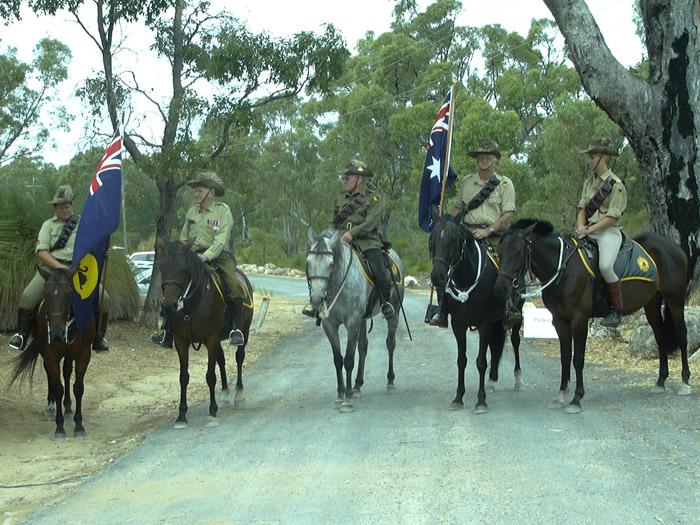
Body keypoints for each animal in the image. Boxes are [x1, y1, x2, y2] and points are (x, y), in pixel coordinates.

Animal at [11, 266, 94, 438]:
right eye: (46, 296)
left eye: (69, 295)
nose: (56, 334)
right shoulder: (50, 353)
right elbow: (58, 387)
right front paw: (60, 427)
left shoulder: (83, 353)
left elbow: (78, 387)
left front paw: (79, 426)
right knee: (51, 374)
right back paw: (51, 405)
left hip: (69, 353)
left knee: (67, 372)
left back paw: (68, 408)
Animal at [156, 239, 254, 428]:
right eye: (161, 266)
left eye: (183, 268)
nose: (168, 307)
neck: (192, 306)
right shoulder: (181, 341)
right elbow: (183, 377)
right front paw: (181, 415)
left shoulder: (211, 339)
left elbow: (210, 376)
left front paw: (212, 411)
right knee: (221, 361)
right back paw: (225, 393)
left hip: (244, 331)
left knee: (239, 358)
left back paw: (238, 395)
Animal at [306, 227, 404, 412]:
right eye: (308, 263)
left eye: (330, 264)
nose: (316, 299)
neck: (338, 282)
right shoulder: (330, 325)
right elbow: (338, 360)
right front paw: (340, 394)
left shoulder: (351, 323)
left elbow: (349, 359)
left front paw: (347, 399)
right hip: (363, 320)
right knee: (363, 347)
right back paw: (358, 385)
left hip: (393, 313)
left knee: (390, 343)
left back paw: (390, 382)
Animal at [430, 215, 524, 412]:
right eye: (432, 239)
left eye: (453, 240)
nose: (437, 276)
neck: (467, 278)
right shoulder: (458, 324)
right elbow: (461, 360)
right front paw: (458, 397)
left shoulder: (485, 323)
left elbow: (481, 362)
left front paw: (481, 401)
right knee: (495, 347)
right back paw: (492, 380)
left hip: (514, 318)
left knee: (515, 341)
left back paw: (517, 379)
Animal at [494, 218, 692, 414]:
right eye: (499, 252)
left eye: (518, 252)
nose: (501, 287)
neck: (563, 268)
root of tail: (672, 246)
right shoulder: (559, 321)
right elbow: (565, 356)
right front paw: (560, 395)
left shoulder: (579, 319)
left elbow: (578, 359)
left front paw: (576, 399)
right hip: (651, 303)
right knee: (660, 337)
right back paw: (660, 382)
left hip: (675, 300)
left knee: (682, 336)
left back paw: (685, 382)